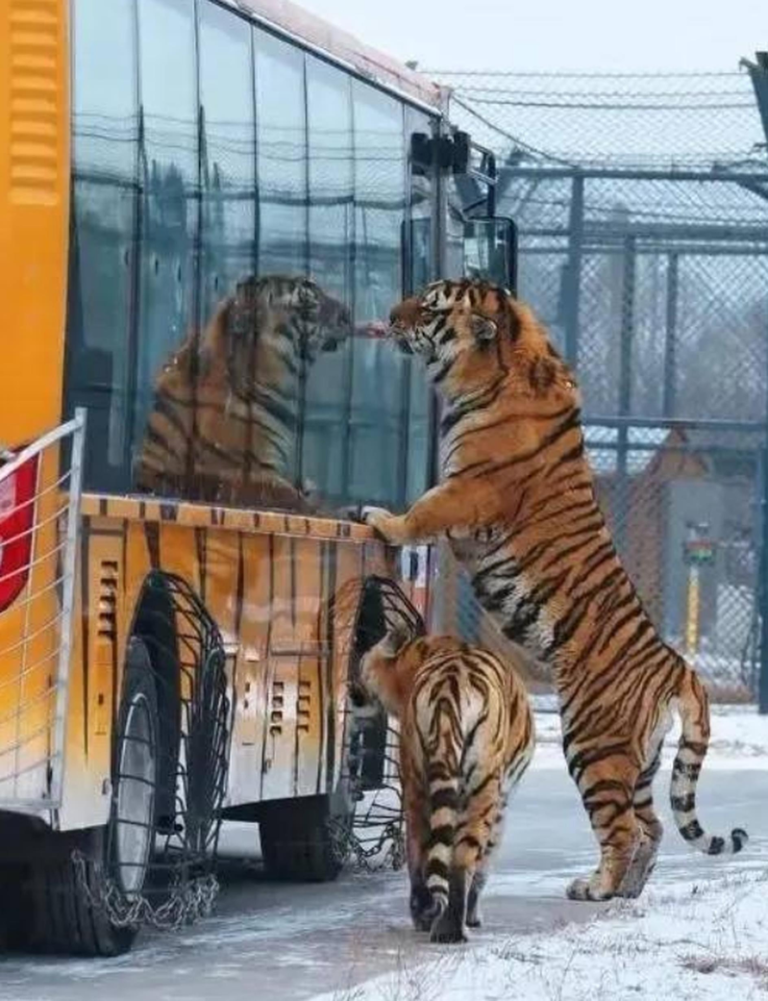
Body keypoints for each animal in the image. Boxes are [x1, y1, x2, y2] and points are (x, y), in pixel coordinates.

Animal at [355, 625, 535, 943]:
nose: (352, 690)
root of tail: (448, 691)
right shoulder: (501, 805)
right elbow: (484, 865)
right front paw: (474, 916)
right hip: (477, 791)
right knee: (458, 860)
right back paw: (449, 928)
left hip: (419, 782)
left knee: (423, 856)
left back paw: (431, 919)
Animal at [362, 278, 747, 902]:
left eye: (430, 306)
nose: (393, 315)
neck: (494, 368)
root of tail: (681, 668)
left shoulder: (466, 491)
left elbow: (421, 510)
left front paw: (380, 519)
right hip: (640, 761)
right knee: (653, 825)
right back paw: (627, 890)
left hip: (593, 743)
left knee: (623, 829)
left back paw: (596, 888)